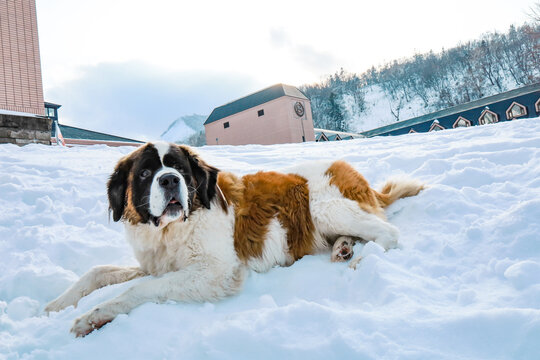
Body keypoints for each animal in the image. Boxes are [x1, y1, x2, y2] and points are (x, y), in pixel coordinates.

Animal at [45, 142, 426, 336]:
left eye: (179, 169)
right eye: (145, 173)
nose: (169, 180)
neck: (173, 229)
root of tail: (352, 171)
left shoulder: (215, 272)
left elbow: (139, 289)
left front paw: (93, 317)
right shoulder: (154, 264)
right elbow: (98, 272)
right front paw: (55, 306)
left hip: (323, 206)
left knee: (388, 233)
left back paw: (360, 261)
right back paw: (344, 247)